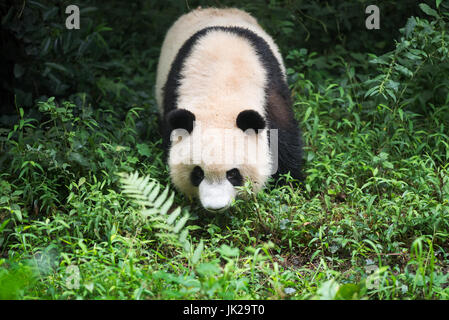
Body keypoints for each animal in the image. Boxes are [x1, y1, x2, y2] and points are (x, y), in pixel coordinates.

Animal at [156, 6, 302, 212]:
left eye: (233, 174)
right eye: (198, 173)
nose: (216, 206)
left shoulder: (270, 93)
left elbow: (285, 144)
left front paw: (289, 186)